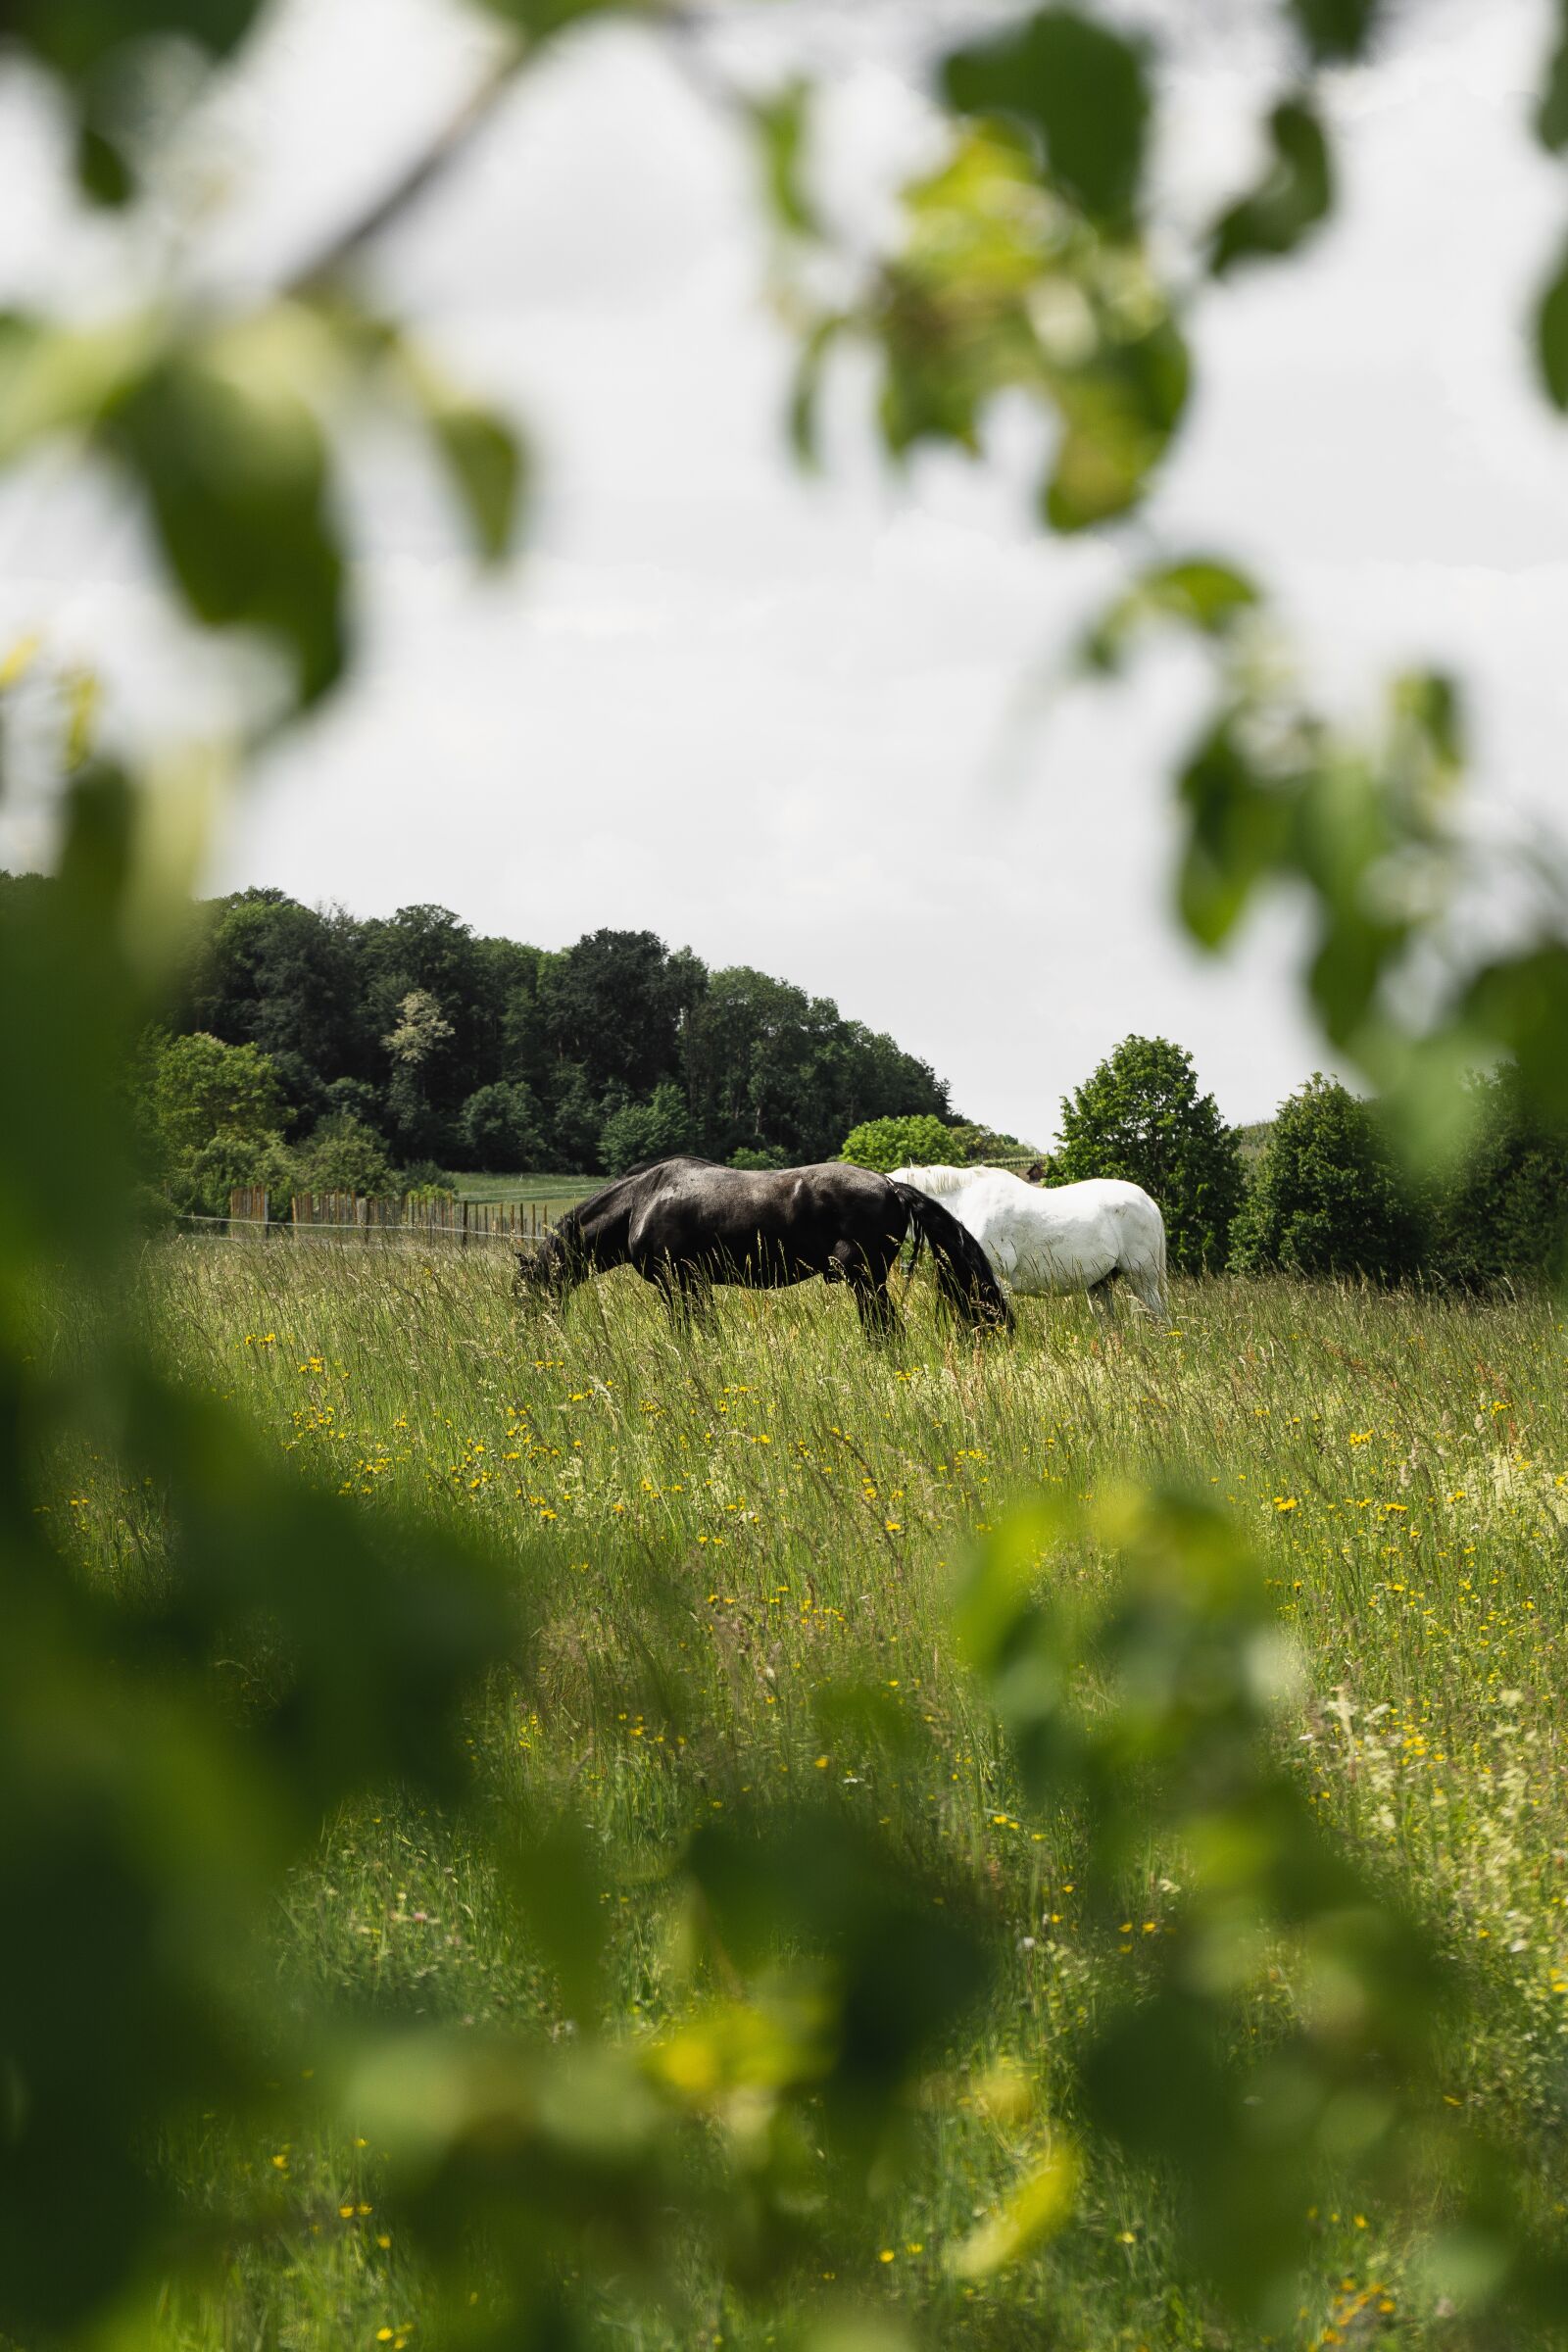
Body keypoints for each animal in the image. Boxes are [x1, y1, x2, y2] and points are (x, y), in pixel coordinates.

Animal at [514, 1148, 1005, 1336]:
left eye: (526, 1293)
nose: (532, 1336)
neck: (642, 1201)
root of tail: (890, 1185)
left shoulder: (677, 1284)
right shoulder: (695, 1286)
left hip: (866, 1279)